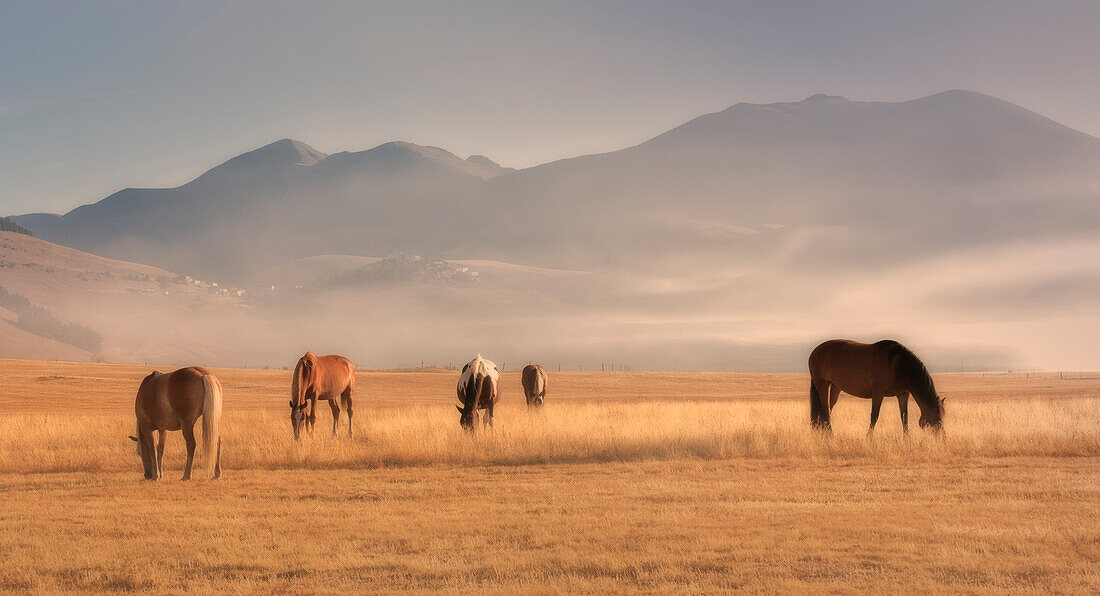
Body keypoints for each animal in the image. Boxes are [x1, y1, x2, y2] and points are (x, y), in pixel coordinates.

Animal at [809, 340, 946, 435]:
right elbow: (874, 416)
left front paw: (907, 440)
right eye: (937, 418)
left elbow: (904, 418)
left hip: (835, 387)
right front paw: (868, 438)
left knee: (828, 410)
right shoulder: (878, 394)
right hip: (822, 384)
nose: (942, 438)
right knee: (825, 409)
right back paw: (830, 435)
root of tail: (814, 352)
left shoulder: (903, 394)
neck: (899, 366)